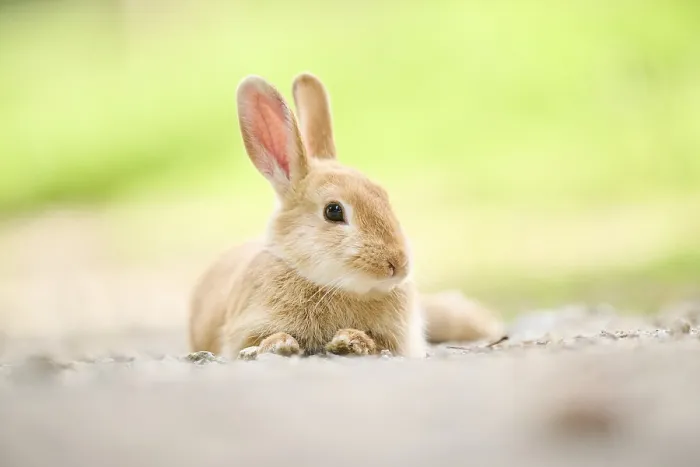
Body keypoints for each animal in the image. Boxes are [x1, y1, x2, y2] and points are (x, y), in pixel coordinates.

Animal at [188, 73, 505, 360]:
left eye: (383, 196)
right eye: (333, 211)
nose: (398, 265)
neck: (331, 286)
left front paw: (351, 341)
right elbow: (258, 341)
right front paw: (282, 344)